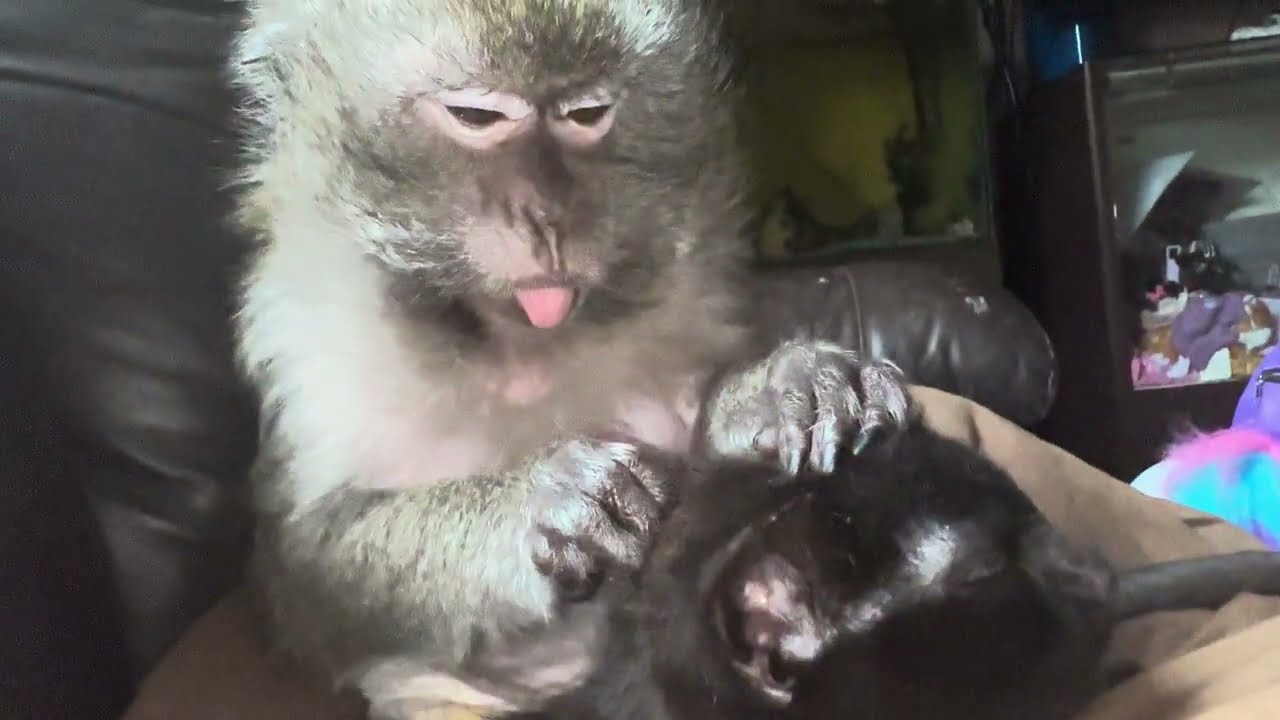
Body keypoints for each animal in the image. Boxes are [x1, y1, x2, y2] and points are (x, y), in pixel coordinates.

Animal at [225, 0, 911, 717]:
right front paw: (543, 505)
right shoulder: (305, 355)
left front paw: (780, 392)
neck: (511, 344)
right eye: (477, 117)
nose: (546, 215)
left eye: (586, 114)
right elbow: (307, 583)